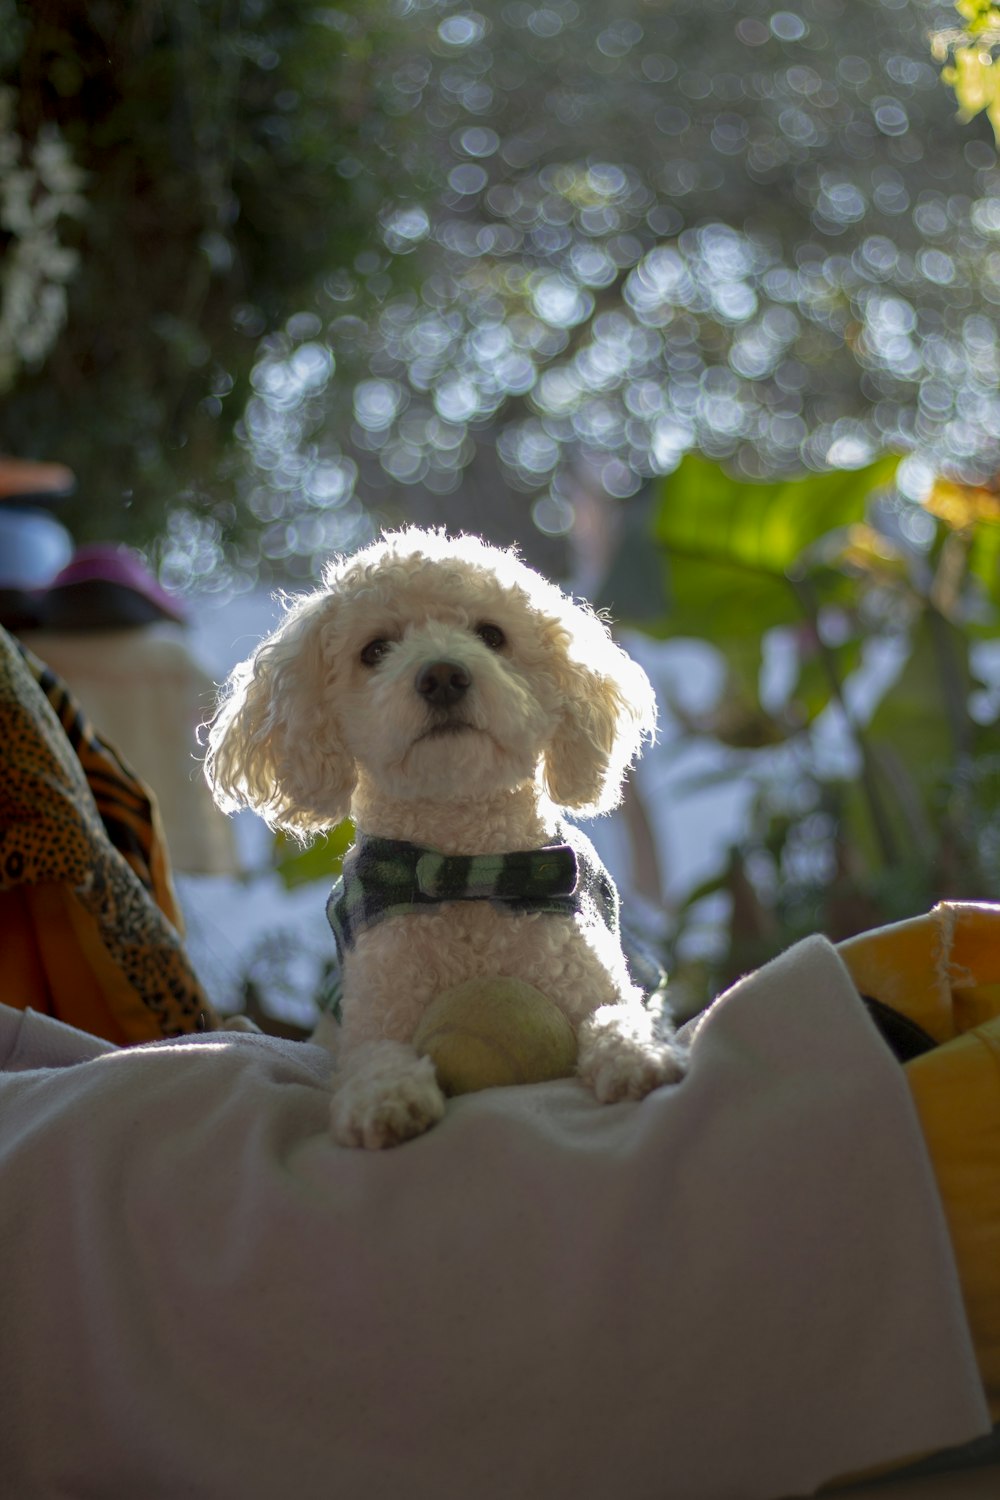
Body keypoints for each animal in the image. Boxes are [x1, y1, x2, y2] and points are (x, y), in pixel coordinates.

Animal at [203, 531, 689, 1146]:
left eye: (492, 635)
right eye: (375, 650)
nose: (442, 676)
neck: (467, 871)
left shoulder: (595, 986)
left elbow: (618, 1016)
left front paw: (636, 1054)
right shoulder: (375, 1018)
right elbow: (373, 1059)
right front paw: (385, 1099)